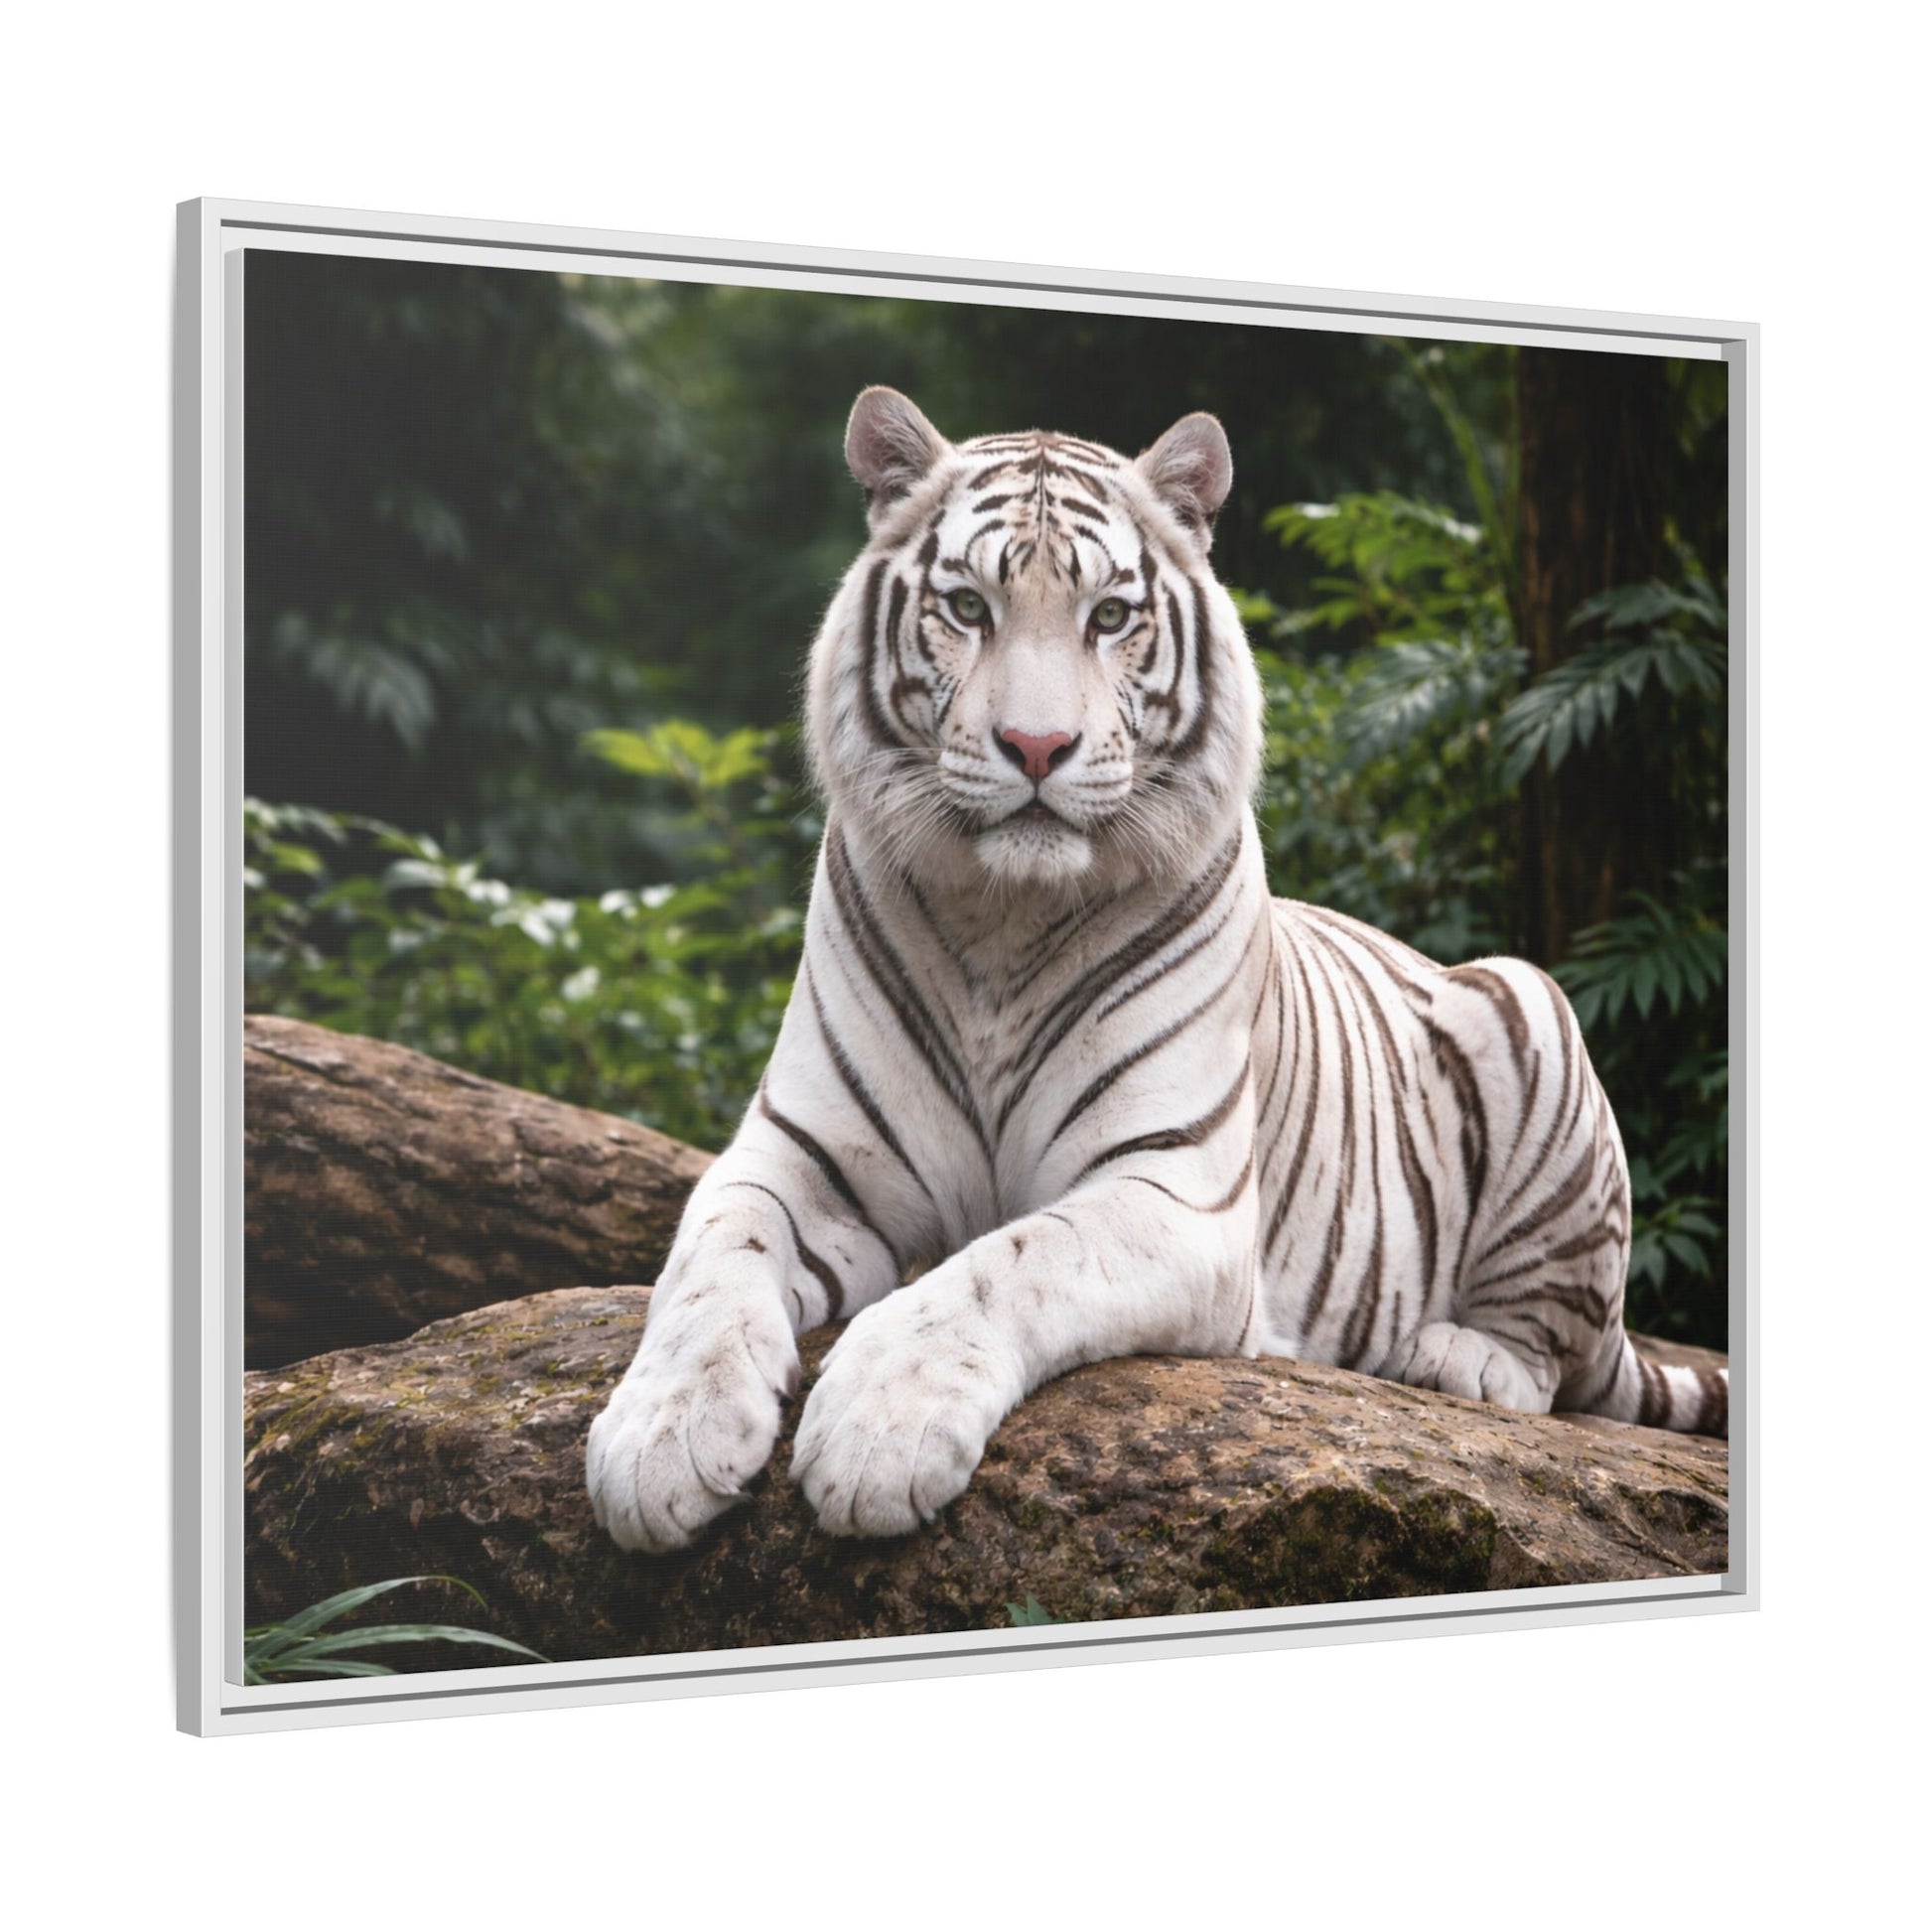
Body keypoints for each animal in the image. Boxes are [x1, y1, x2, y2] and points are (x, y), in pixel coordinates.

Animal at [585, 385, 1729, 1554]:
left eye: (1107, 616)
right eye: (967, 607)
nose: (1035, 746)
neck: (1001, 918)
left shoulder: (1169, 1186)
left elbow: (1004, 1264)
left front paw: (877, 1433)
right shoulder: (796, 1154)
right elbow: (709, 1263)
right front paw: (659, 1439)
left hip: (1526, 1003)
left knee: (1555, 1360)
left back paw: (1459, 1358)